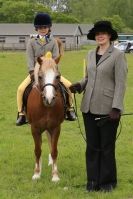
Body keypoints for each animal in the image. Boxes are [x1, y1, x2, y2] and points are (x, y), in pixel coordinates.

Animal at [26, 51, 64, 182]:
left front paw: (55, 175)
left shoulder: (56, 128)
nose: (49, 99)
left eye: (57, 76)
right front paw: (37, 173)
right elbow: (37, 150)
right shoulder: (35, 129)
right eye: (40, 76)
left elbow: (54, 150)